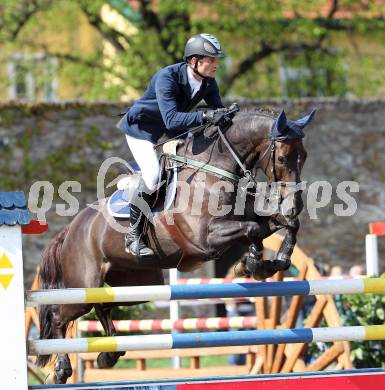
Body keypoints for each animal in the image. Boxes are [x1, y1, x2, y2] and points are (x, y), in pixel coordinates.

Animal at [34, 108, 314, 382]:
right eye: (283, 158)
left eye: (304, 156)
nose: (295, 204)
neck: (216, 169)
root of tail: (71, 228)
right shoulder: (206, 239)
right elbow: (254, 230)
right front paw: (253, 264)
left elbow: (286, 224)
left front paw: (273, 260)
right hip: (83, 286)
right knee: (59, 315)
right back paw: (61, 370)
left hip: (136, 285)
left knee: (103, 305)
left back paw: (108, 355)